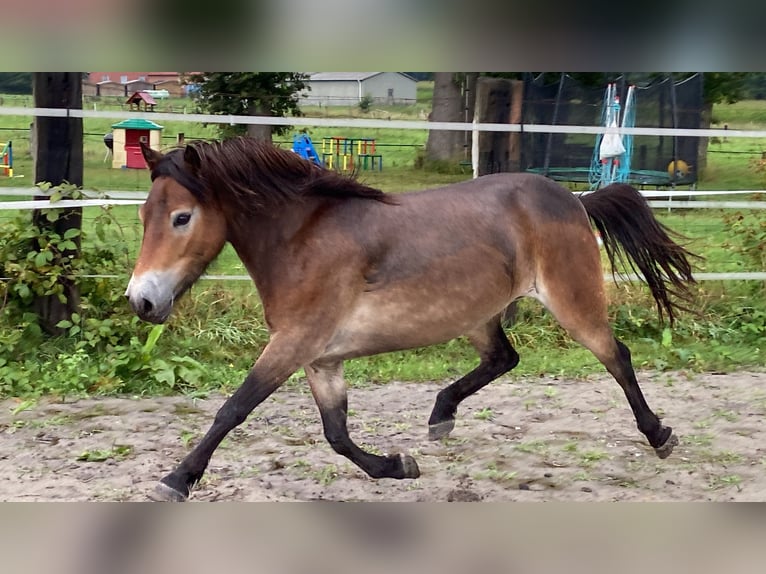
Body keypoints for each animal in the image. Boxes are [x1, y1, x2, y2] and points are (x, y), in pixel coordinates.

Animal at [129, 137, 700, 502]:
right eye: (143, 216)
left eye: (182, 217)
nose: (141, 301)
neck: (302, 241)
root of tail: (575, 198)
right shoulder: (319, 359)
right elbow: (336, 433)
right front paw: (398, 467)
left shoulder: (293, 345)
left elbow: (233, 409)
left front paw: (175, 481)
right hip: (477, 314)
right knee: (503, 357)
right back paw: (440, 416)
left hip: (572, 301)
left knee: (615, 356)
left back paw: (659, 435)